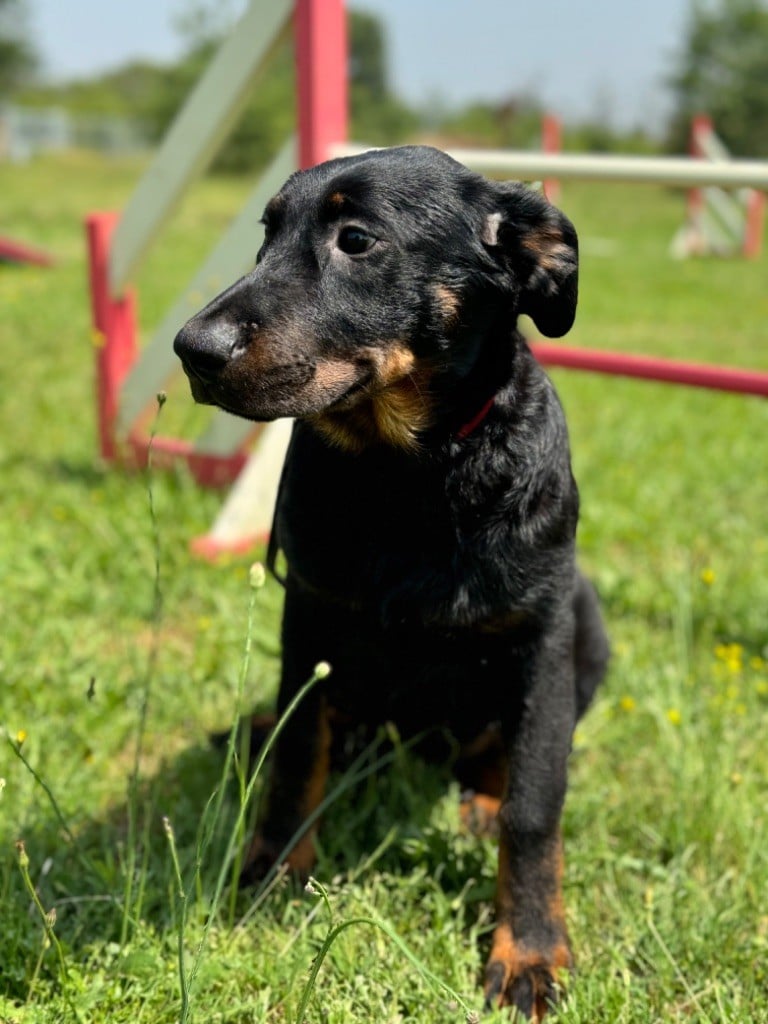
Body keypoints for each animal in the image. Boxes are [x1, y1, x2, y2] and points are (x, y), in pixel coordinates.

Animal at [174, 145, 609, 1019]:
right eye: (266, 234)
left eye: (356, 240)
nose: (192, 348)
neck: (409, 478)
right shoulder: (308, 618)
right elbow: (297, 752)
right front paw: (275, 868)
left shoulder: (543, 637)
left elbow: (534, 804)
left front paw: (531, 950)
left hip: (589, 629)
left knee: (496, 759)